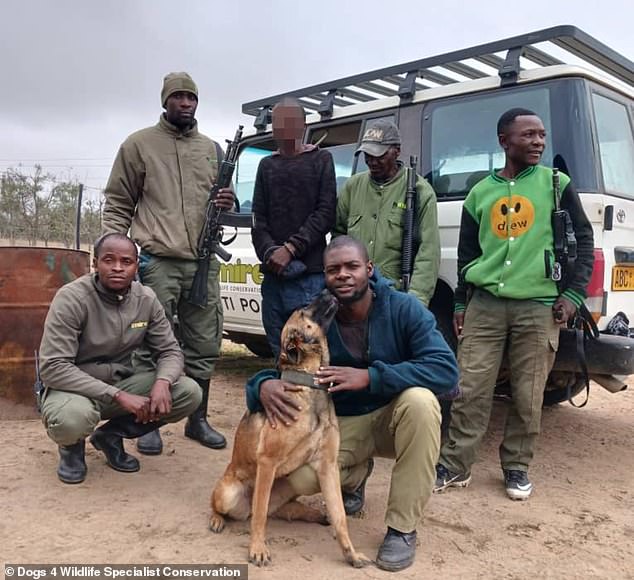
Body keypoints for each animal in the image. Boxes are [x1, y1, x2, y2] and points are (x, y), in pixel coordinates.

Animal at [209, 288, 366, 568]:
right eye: (304, 310)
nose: (326, 289)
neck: (311, 383)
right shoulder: (267, 462)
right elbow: (260, 515)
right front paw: (257, 549)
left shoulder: (328, 466)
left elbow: (340, 517)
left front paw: (351, 553)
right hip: (229, 493)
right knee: (232, 508)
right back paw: (217, 519)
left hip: (289, 489)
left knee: (290, 511)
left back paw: (318, 515)